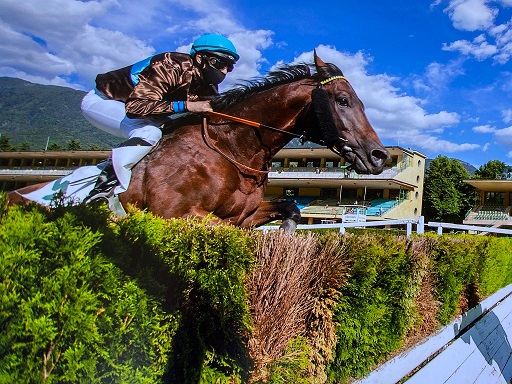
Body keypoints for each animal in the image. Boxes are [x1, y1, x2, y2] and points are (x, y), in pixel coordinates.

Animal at [8, 51, 388, 231]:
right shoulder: (176, 214)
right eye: (343, 100)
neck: (232, 148)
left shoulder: (244, 215)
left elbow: (290, 208)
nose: (379, 155)